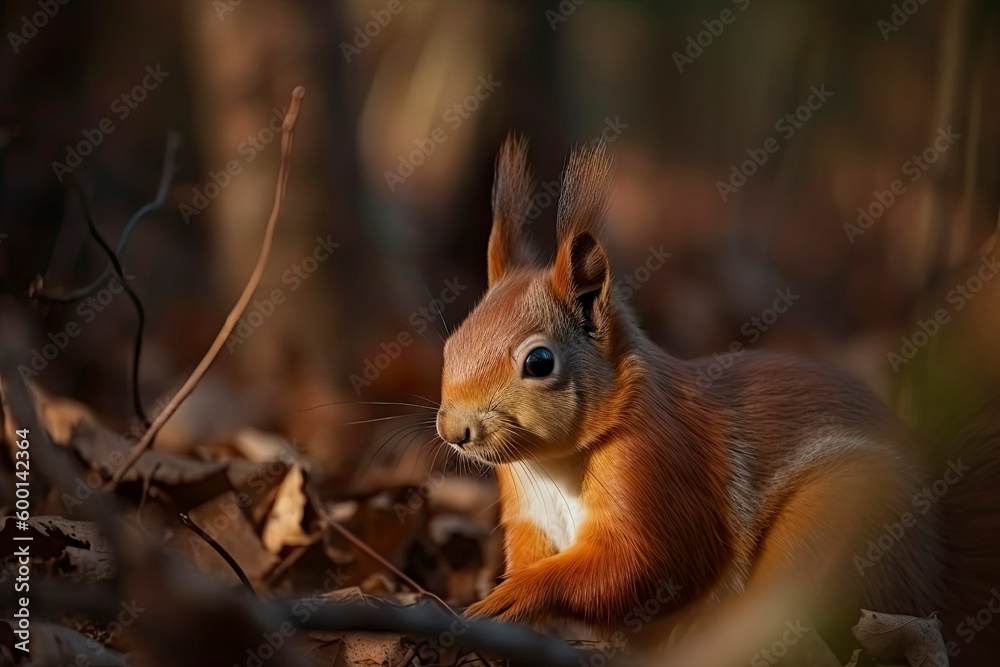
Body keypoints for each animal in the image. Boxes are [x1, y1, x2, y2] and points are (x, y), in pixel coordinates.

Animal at [435, 135, 1000, 665]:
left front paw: (511, 598)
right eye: (452, 342)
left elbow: (644, 567)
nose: (453, 431)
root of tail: (932, 581)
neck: (553, 465)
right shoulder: (526, 511)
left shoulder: (663, 469)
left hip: (836, 527)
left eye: (539, 362)